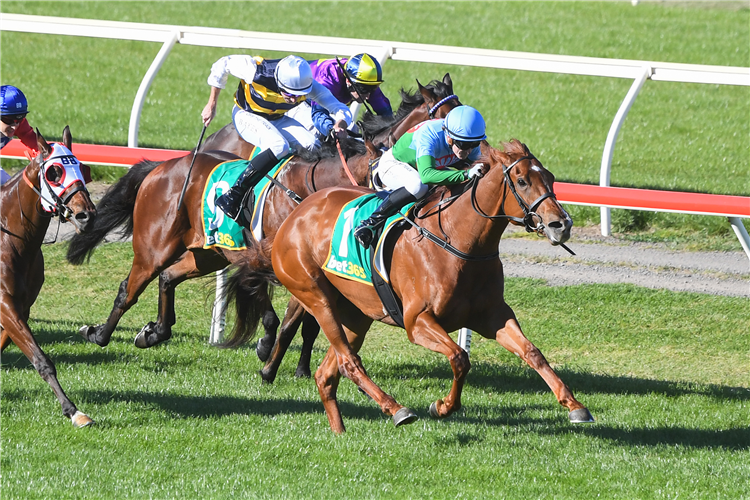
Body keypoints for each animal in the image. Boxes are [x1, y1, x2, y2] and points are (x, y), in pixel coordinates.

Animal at [0, 127, 97, 428]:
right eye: (54, 172)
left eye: (83, 169)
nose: (86, 215)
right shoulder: (4, 303)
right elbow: (41, 359)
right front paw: (73, 410)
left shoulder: (21, 307)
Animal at [226, 139, 596, 432]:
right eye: (521, 180)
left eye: (549, 177)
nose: (561, 224)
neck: (459, 243)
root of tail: (292, 218)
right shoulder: (417, 322)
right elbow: (460, 357)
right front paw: (443, 406)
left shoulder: (493, 316)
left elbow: (533, 353)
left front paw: (576, 406)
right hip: (315, 295)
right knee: (347, 361)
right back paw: (396, 409)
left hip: (355, 313)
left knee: (328, 372)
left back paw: (340, 430)